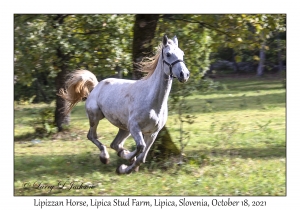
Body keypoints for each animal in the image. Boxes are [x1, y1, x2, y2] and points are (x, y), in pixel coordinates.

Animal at [58, 34, 189, 174]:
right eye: (168, 54)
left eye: (182, 53)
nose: (184, 74)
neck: (153, 101)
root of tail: (96, 86)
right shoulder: (135, 127)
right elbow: (140, 147)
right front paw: (125, 164)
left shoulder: (153, 133)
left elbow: (142, 157)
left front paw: (125, 167)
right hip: (96, 117)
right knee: (92, 136)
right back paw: (105, 157)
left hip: (124, 129)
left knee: (115, 144)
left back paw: (121, 155)